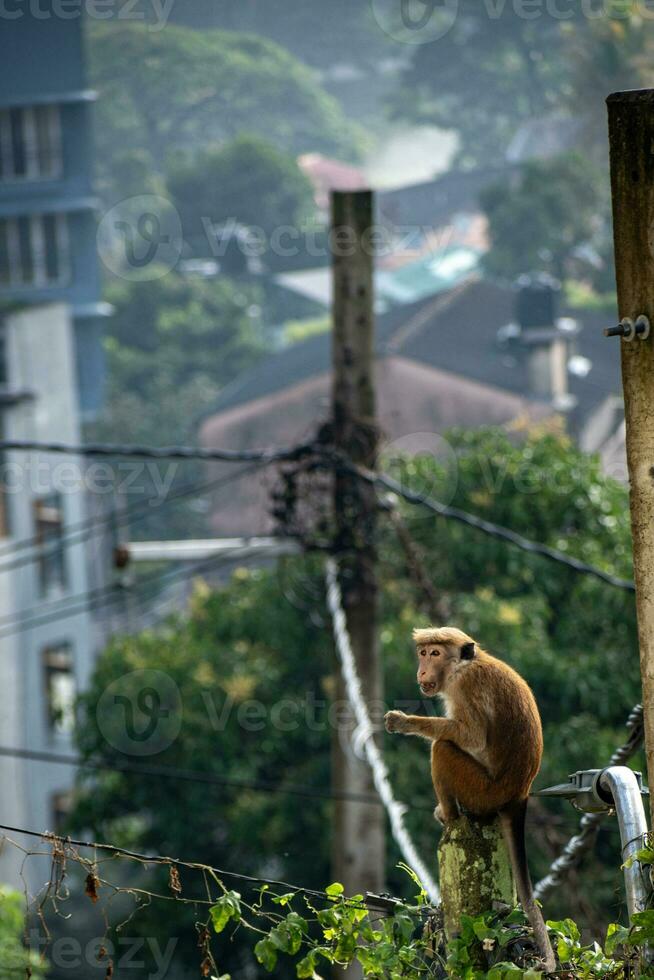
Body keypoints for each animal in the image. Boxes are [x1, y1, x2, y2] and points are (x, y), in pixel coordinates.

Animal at [384, 628, 560, 972]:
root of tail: (519, 793)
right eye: (423, 652)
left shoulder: (466, 686)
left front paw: (405, 721)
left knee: (442, 747)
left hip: (480, 790)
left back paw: (449, 815)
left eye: (435, 654)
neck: (464, 665)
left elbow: (472, 736)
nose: (421, 670)